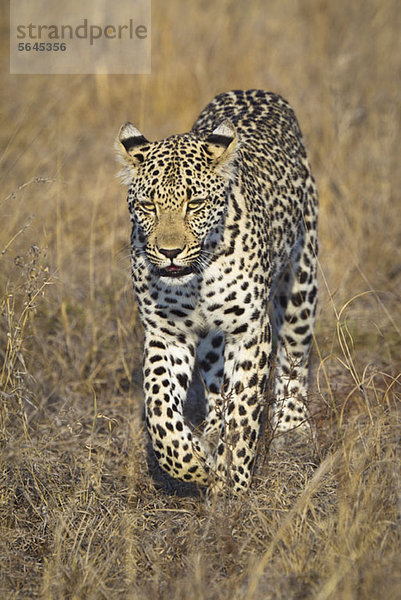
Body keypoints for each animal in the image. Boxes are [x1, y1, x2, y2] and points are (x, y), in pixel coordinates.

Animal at [115, 89, 316, 492]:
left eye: (194, 204)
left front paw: (232, 486)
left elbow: (243, 414)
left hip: (301, 286)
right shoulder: (166, 333)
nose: (170, 252)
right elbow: (159, 409)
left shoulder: (250, 332)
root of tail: (255, 90)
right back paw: (208, 432)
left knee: (294, 359)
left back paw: (292, 427)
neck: (197, 280)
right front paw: (193, 464)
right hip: (211, 342)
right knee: (215, 387)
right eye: (148, 205)